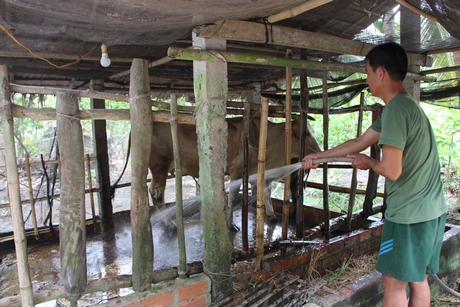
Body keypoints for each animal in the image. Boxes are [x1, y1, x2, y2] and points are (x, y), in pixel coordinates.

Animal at [148, 116, 320, 232]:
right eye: (306, 134)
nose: (319, 152)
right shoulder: (236, 171)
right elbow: (233, 196)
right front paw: (230, 224)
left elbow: (265, 193)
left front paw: (271, 215)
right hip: (159, 168)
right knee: (157, 194)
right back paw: (170, 224)